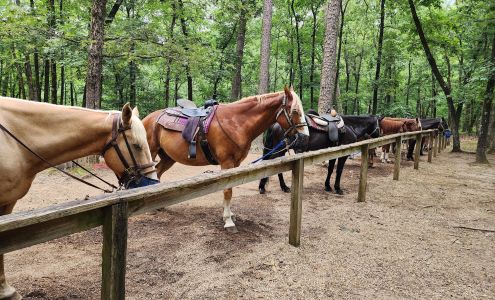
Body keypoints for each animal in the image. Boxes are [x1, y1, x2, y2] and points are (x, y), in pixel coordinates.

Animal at [141, 86, 308, 232]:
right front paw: (228, 222)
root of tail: (146, 119)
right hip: (151, 153)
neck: (236, 122)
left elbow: (230, 187)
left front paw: (228, 214)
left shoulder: (235, 163)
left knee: (157, 173)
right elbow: (228, 190)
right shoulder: (227, 162)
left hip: (168, 158)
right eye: (294, 110)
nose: (304, 137)